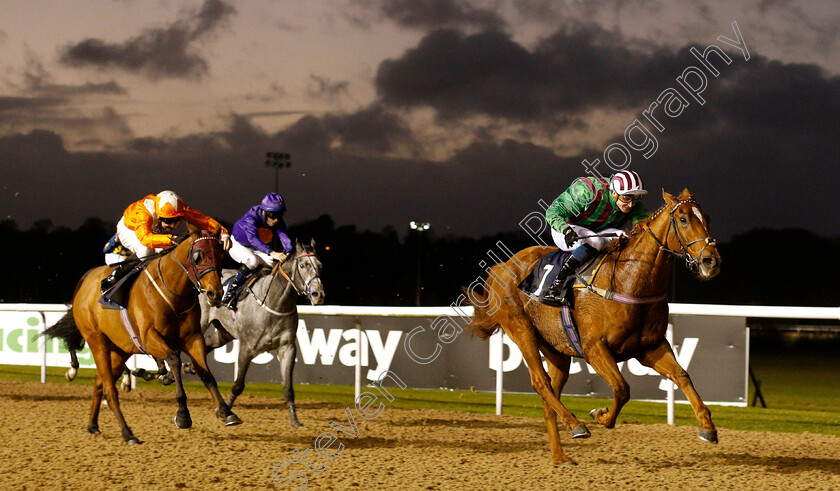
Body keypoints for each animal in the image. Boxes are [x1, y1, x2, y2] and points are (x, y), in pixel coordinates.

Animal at [44, 224, 241, 446]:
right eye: (199, 256)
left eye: (221, 255)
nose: (215, 294)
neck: (172, 292)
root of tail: (85, 281)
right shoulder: (149, 338)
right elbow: (174, 360)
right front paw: (182, 415)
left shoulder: (193, 338)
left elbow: (206, 374)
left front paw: (226, 412)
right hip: (97, 341)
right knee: (110, 389)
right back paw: (128, 433)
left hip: (120, 350)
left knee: (99, 382)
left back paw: (93, 425)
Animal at [200, 238, 324, 426]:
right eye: (302, 265)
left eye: (320, 265)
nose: (318, 294)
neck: (275, 303)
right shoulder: (247, 348)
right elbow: (238, 385)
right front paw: (225, 411)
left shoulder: (287, 348)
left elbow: (288, 388)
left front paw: (295, 420)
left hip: (224, 332)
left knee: (206, 345)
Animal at [466, 189, 720, 466]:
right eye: (683, 219)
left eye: (707, 218)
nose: (711, 261)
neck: (628, 279)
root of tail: (498, 268)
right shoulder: (594, 348)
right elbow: (622, 389)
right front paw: (600, 415)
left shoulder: (651, 347)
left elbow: (682, 376)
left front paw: (708, 427)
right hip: (522, 330)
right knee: (540, 382)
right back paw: (576, 425)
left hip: (556, 349)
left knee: (549, 395)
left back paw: (560, 455)